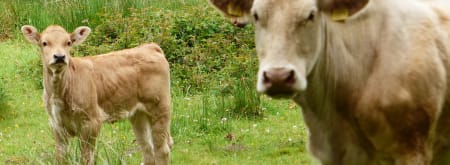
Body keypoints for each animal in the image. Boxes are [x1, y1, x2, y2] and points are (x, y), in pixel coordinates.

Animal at [21, 24, 173, 165]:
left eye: (68, 42)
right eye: (44, 43)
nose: (59, 57)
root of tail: (149, 47)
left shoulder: (92, 122)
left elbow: (86, 158)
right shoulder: (56, 125)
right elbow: (61, 158)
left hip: (160, 108)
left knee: (162, 150)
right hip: (138, 114)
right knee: (148, 149)